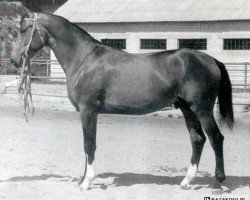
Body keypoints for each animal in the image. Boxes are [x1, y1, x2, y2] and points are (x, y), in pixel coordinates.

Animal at [8, 6, 233, 191]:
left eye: (24, 30)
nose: (14, 60)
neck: (84, 59)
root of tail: (211, 59)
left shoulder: (88, 110)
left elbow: (89, 144)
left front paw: (87, 182)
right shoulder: (86, 112)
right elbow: (86, 146)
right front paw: (82, 180)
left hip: (202, 109)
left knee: (216, 139)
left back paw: (218, 182)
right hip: (187, 108)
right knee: (198, 139)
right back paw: (186, 181)